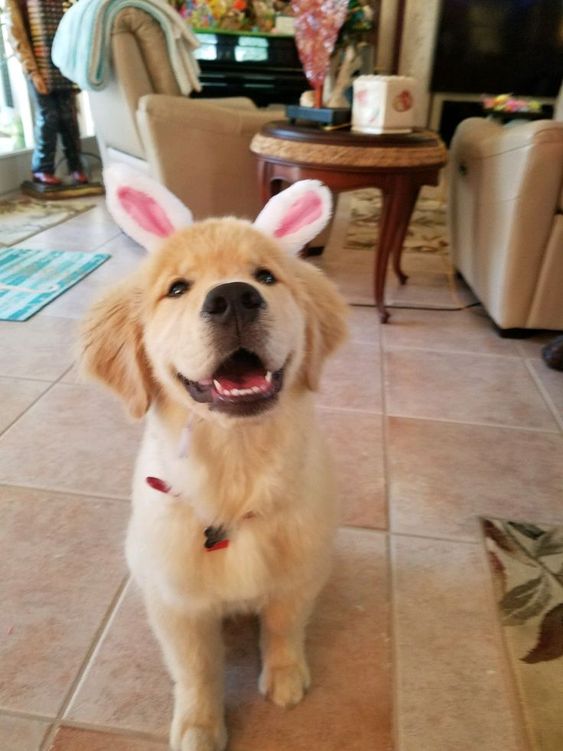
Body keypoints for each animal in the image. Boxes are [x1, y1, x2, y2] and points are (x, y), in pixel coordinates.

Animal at [81, 169, 348, 751]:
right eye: (178, 288)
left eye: (265, 276)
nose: (233, 298)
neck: (235, 467)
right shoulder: (178, 603)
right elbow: (197, 668)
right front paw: (200, 726)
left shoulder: (301, 573)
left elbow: (283, 627)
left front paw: (286, 677)